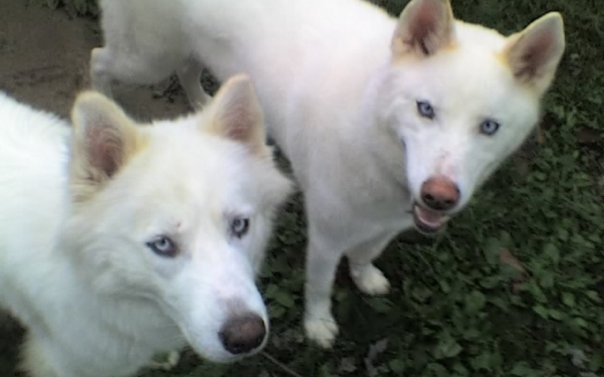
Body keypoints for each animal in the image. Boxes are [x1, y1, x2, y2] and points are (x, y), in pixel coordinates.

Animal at [91, 0, 568, 346]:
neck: (370, 127)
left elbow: (366, 255)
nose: (439, 195)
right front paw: (318, 326)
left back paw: (202, 105)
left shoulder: (386, 223)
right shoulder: (326, 235)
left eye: (488, 127)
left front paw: (365, 277)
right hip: (145, 59)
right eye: (425, 109)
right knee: (100, 60)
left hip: (183, 53)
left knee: (188, 69)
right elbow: (319, 285)